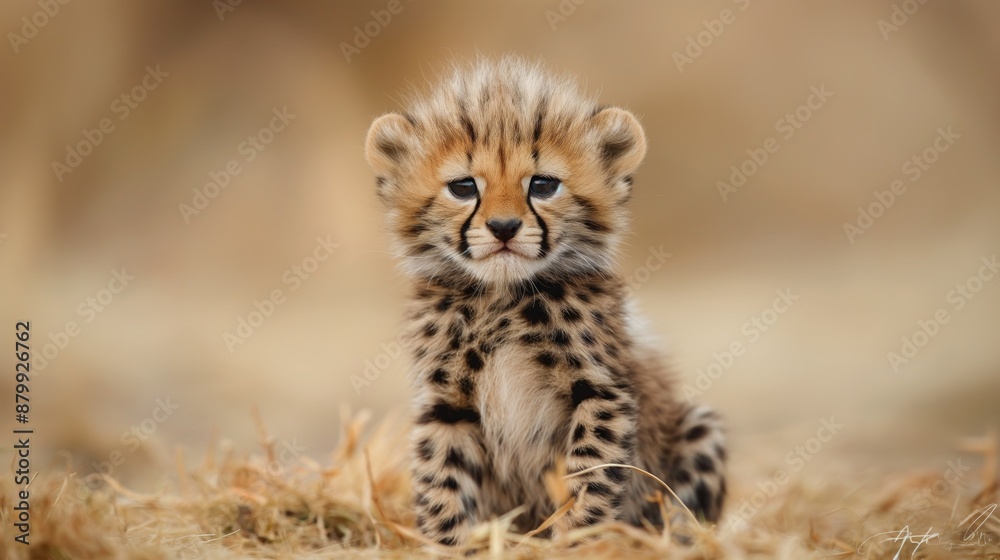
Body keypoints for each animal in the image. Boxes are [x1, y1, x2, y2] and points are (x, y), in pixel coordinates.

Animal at [363, 56, 726, 547]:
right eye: (463, 187)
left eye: (543, 184)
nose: (503, 227)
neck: (501, 299)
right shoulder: (445, 404)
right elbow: (441, 484)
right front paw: (447, 547)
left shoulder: (600, 392)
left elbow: (590, 477)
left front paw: (579, 543)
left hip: (699, 428)